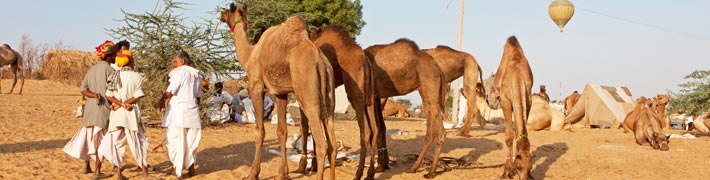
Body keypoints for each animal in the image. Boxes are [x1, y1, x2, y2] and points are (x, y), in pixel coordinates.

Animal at [220, 3, 336, 179]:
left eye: (228, 9)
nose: (221, 15)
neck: (250, 55)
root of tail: (319, 61)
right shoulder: (280, 94)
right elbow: (282, 131)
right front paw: (283, 173)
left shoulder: (256, 87)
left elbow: (260, 131)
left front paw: (252, 173)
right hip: (329, 97)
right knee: (333, 144)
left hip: (308, 95)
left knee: (322, 144)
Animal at [310, 25, 384, 180]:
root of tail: (365, 60)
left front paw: (312, 166)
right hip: (370, 95)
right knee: (375, 128)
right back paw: (370, 174)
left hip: (355, 92)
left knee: (365, 131)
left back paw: (358, 174)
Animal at [364, 38, 448, 179]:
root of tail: (439, 69)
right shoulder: (377, 97)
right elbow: (381, 128)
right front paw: (383, 166)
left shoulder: (371, 94)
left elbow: (374, 129)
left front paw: (377, 168)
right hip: (425, 93)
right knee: (430, 132)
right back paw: (414, 167)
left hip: (430, 86)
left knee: (440, 132)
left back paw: (431, 172)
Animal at [492, 35, 536, 179]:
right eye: (519, 167)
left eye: (530, 168)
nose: (524, 178)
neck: (517, 73)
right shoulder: (505, 101)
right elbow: (509, 136)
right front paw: (506, 171)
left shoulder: (528, 101)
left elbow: (518, 131)